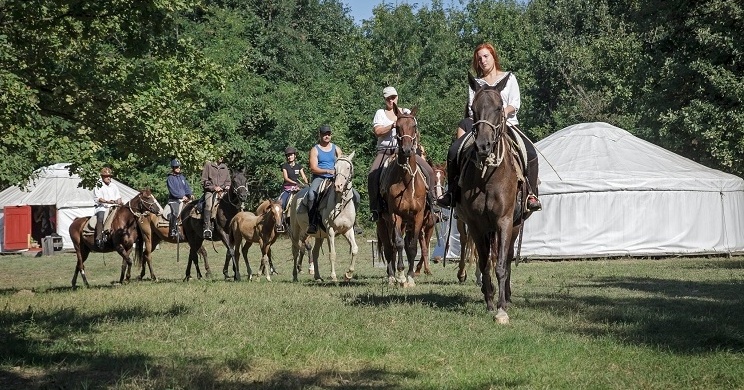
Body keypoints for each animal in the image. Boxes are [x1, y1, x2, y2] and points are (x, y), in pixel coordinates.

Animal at [290, 152, 358, 284]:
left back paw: (317, 276)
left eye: (348, 168)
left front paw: (348, 274)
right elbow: (332, 254)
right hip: (296, 230)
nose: (338, 186)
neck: (340, 203)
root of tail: (297, 195)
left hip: (318, 235)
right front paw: (334, 276)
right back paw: (295, 276)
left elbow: (354, 249)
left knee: (315, 252)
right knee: (295, 250)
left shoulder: (348, 230)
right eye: (335, 168)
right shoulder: (331, 231)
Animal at [378, 103, 430, 286]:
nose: (407, 150)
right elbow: (399, 244)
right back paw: (391, 276)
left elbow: (412, 246)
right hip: (383, 222)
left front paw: (410, 277)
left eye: (413, 126)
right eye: (397, 127)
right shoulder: (395, 215)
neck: (407, 181)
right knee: (389, 246)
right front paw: (400, 274)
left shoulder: (418, 216)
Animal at [456, 73, 528, 322]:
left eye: (499, 107)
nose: (483, 146)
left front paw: (501, 309)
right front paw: (489, 301)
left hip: (514, 226)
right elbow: (485, 263)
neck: (488, 176)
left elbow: (501, 265)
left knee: (507, 257)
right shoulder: (477, 224)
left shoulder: (504, 222)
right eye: (473, 109)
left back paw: (507, 295)